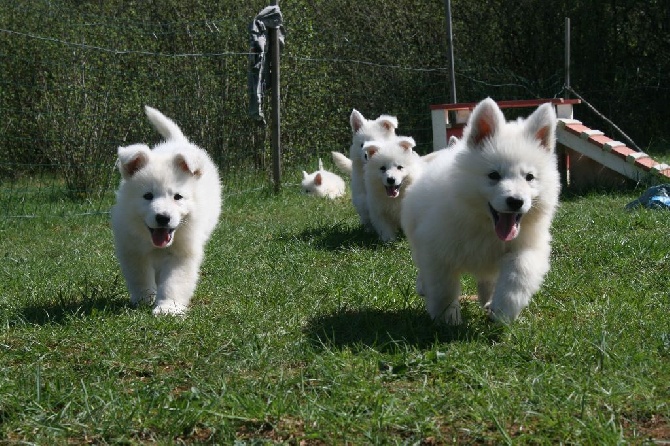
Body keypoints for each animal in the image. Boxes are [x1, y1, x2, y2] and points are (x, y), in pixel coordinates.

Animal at [402, 97, 564, 324]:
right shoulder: (437, 250)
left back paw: (488, 301)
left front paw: (504, 309)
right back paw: (423, 286)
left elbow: (518, 274)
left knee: (488, 279)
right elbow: (443, 288)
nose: (516, 201)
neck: (486, 227)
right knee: (422, 267)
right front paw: (447, 318)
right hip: (416, 238)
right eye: (494, 175)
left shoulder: (527, 247)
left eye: (529, 177)